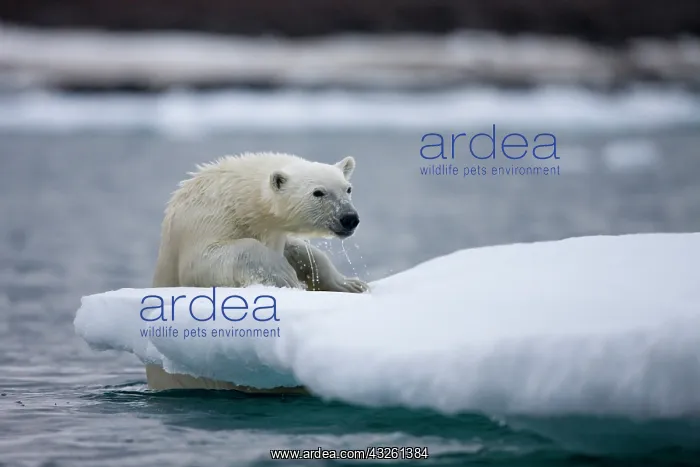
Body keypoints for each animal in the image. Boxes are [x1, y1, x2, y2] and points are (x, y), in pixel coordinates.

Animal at [146, 151, 369, 391]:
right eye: (318, 192)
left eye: (347, 188)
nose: (349, 218)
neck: (240, 197)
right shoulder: (204, 220)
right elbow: (205, 261)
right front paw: (285, 275)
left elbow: (300, 251)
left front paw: (350, 284)